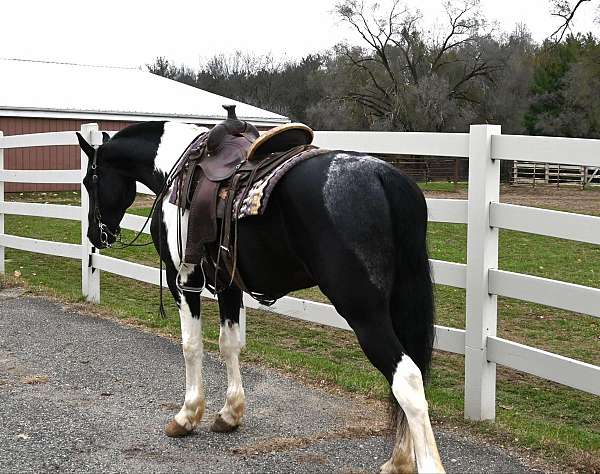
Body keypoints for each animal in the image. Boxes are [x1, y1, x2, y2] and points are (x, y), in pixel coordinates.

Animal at [77, 122, 446, 474]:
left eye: (89, 181)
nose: (96, 235)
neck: (175, 168)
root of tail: (384, 177)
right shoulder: (227, 284)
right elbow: (229, 344)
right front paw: (230, 413)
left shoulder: (182, 280)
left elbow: (191, 346)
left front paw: (187, 415)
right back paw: (398, 461)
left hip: (363, 313)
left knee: (407, 380)